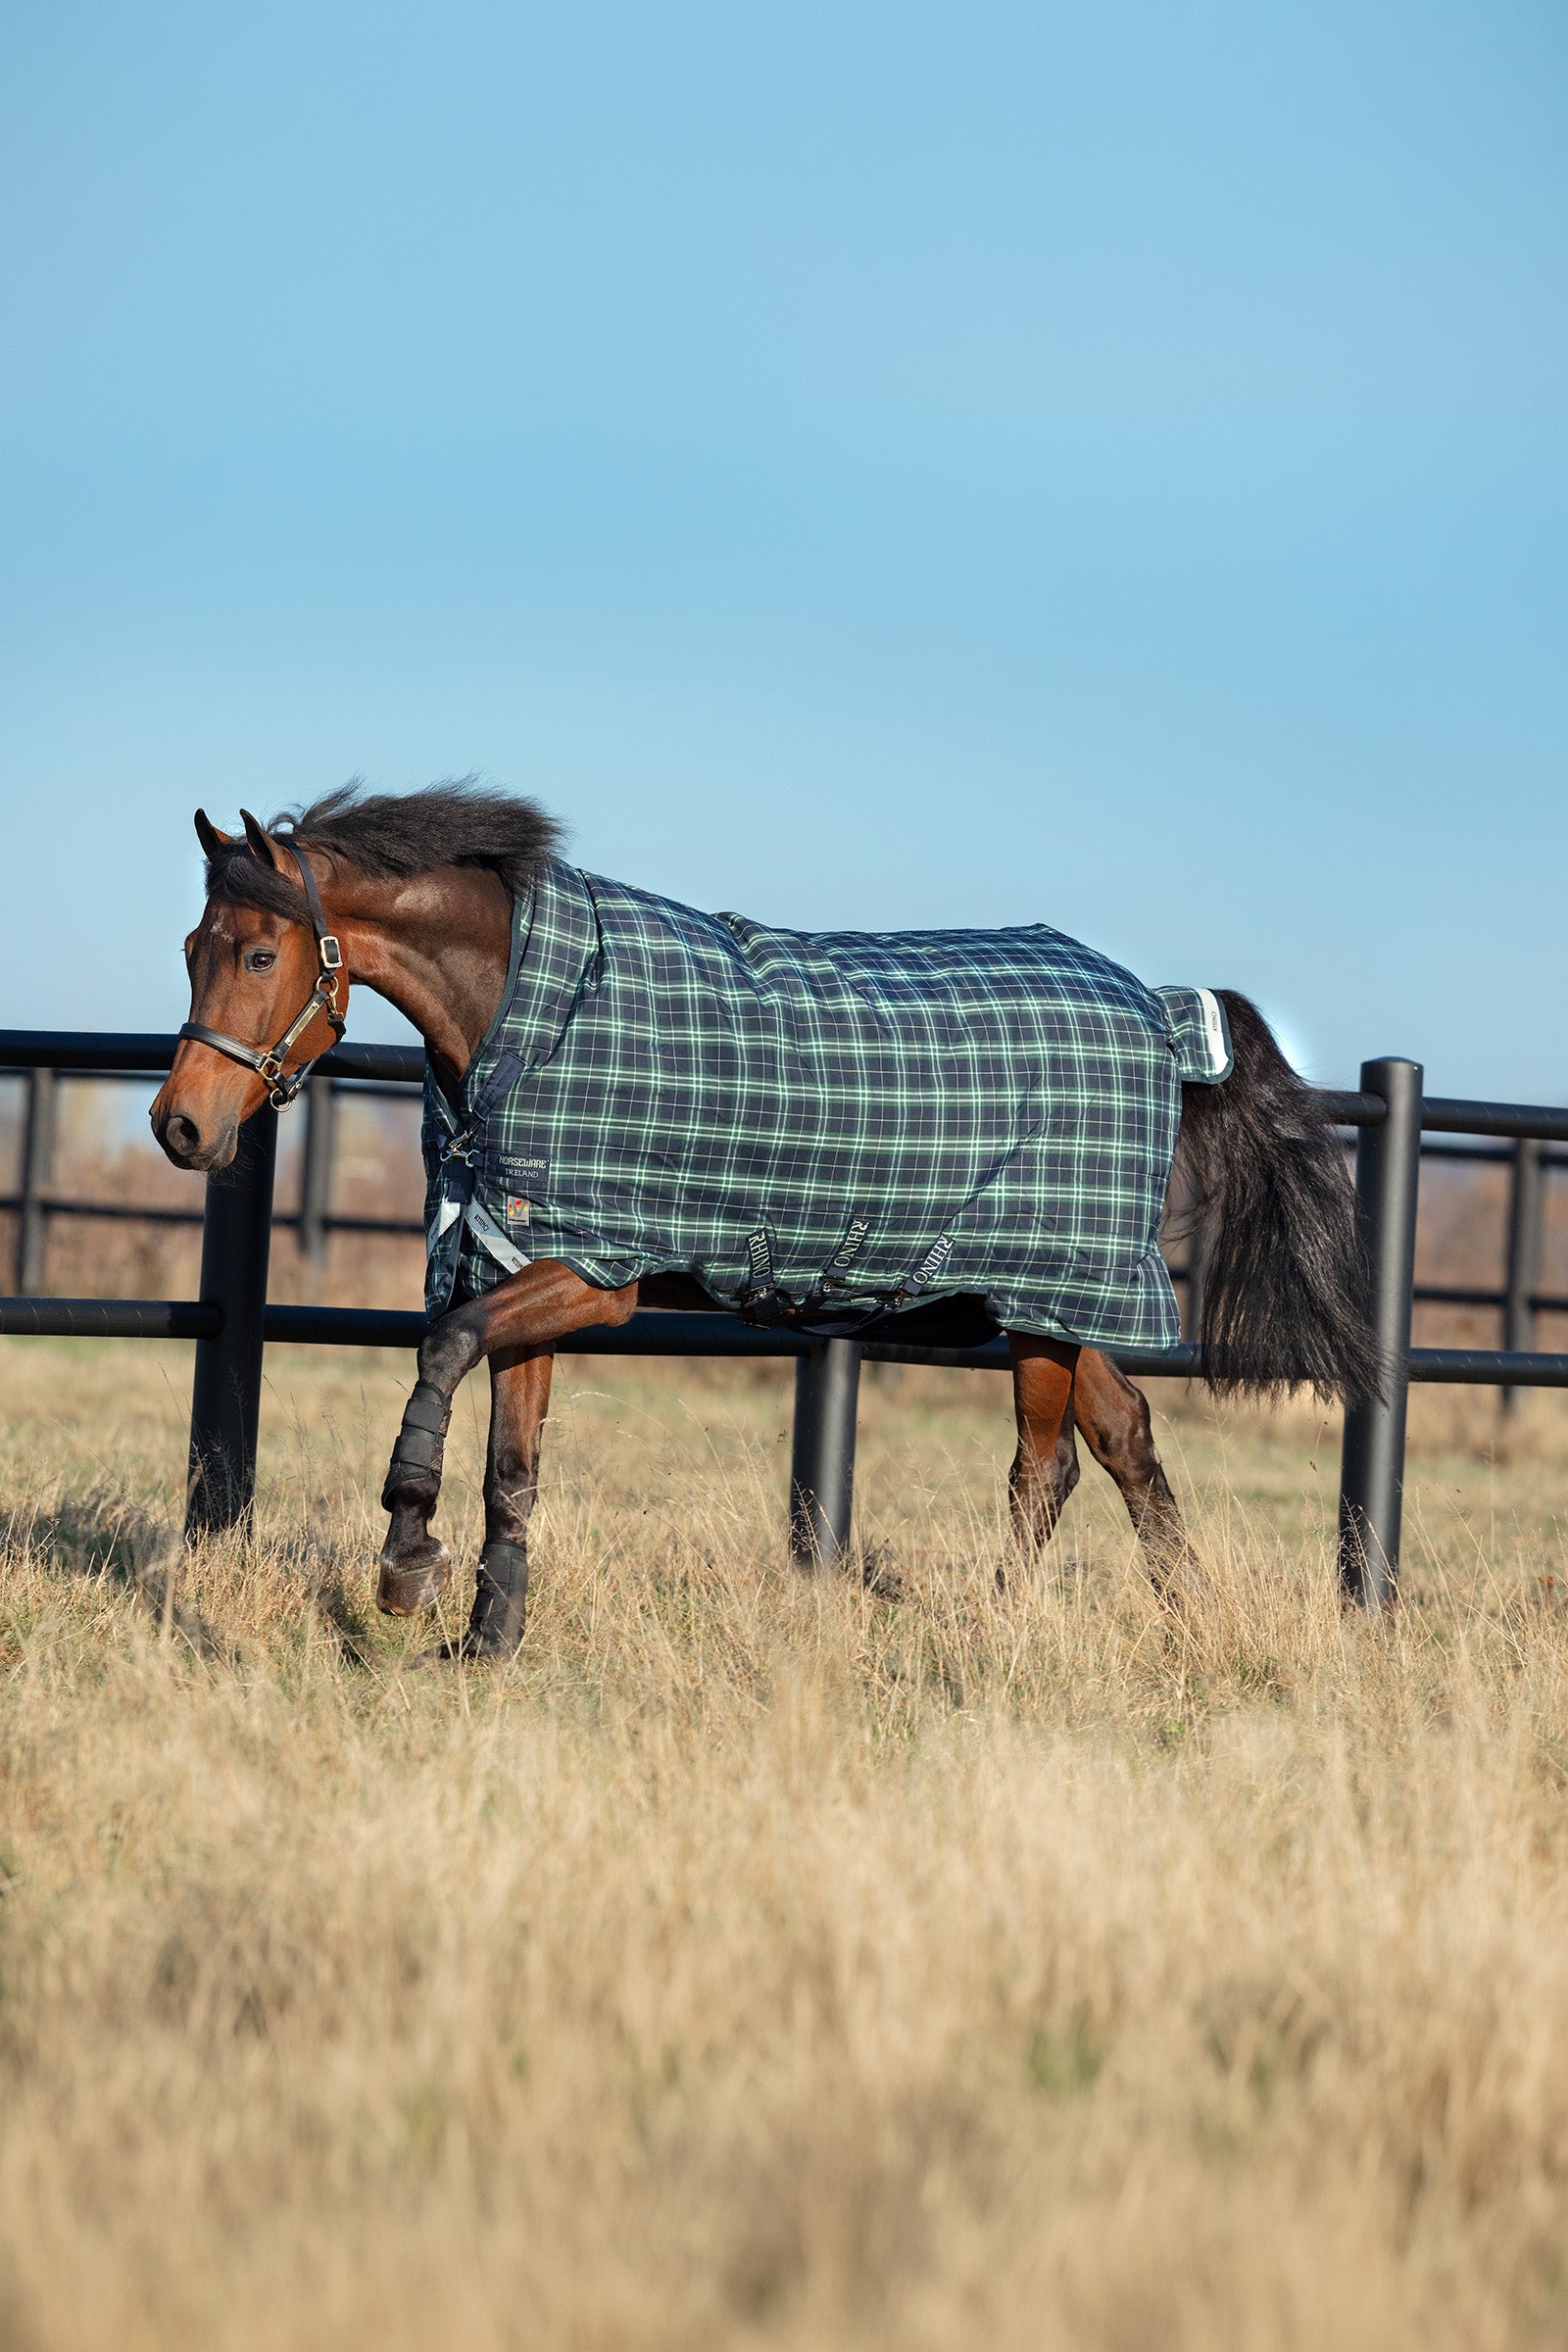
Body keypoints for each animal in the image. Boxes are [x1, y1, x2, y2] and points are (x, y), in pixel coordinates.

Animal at [151, 783, 1378, 1659]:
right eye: (191, 950)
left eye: (258, 953)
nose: (180, 1126)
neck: (530, 1006)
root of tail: (1162, 1013)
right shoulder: (517, 1258)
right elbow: (511, 1463)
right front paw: (485, 1641)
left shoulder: (593, 1273)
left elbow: (441, 1355)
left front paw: (405, 1560)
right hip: (1051, 1304)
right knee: (1122, 1437)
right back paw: (1186, 1621)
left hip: (1044, 1293)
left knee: (1046, 1468)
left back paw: (998, 1639)